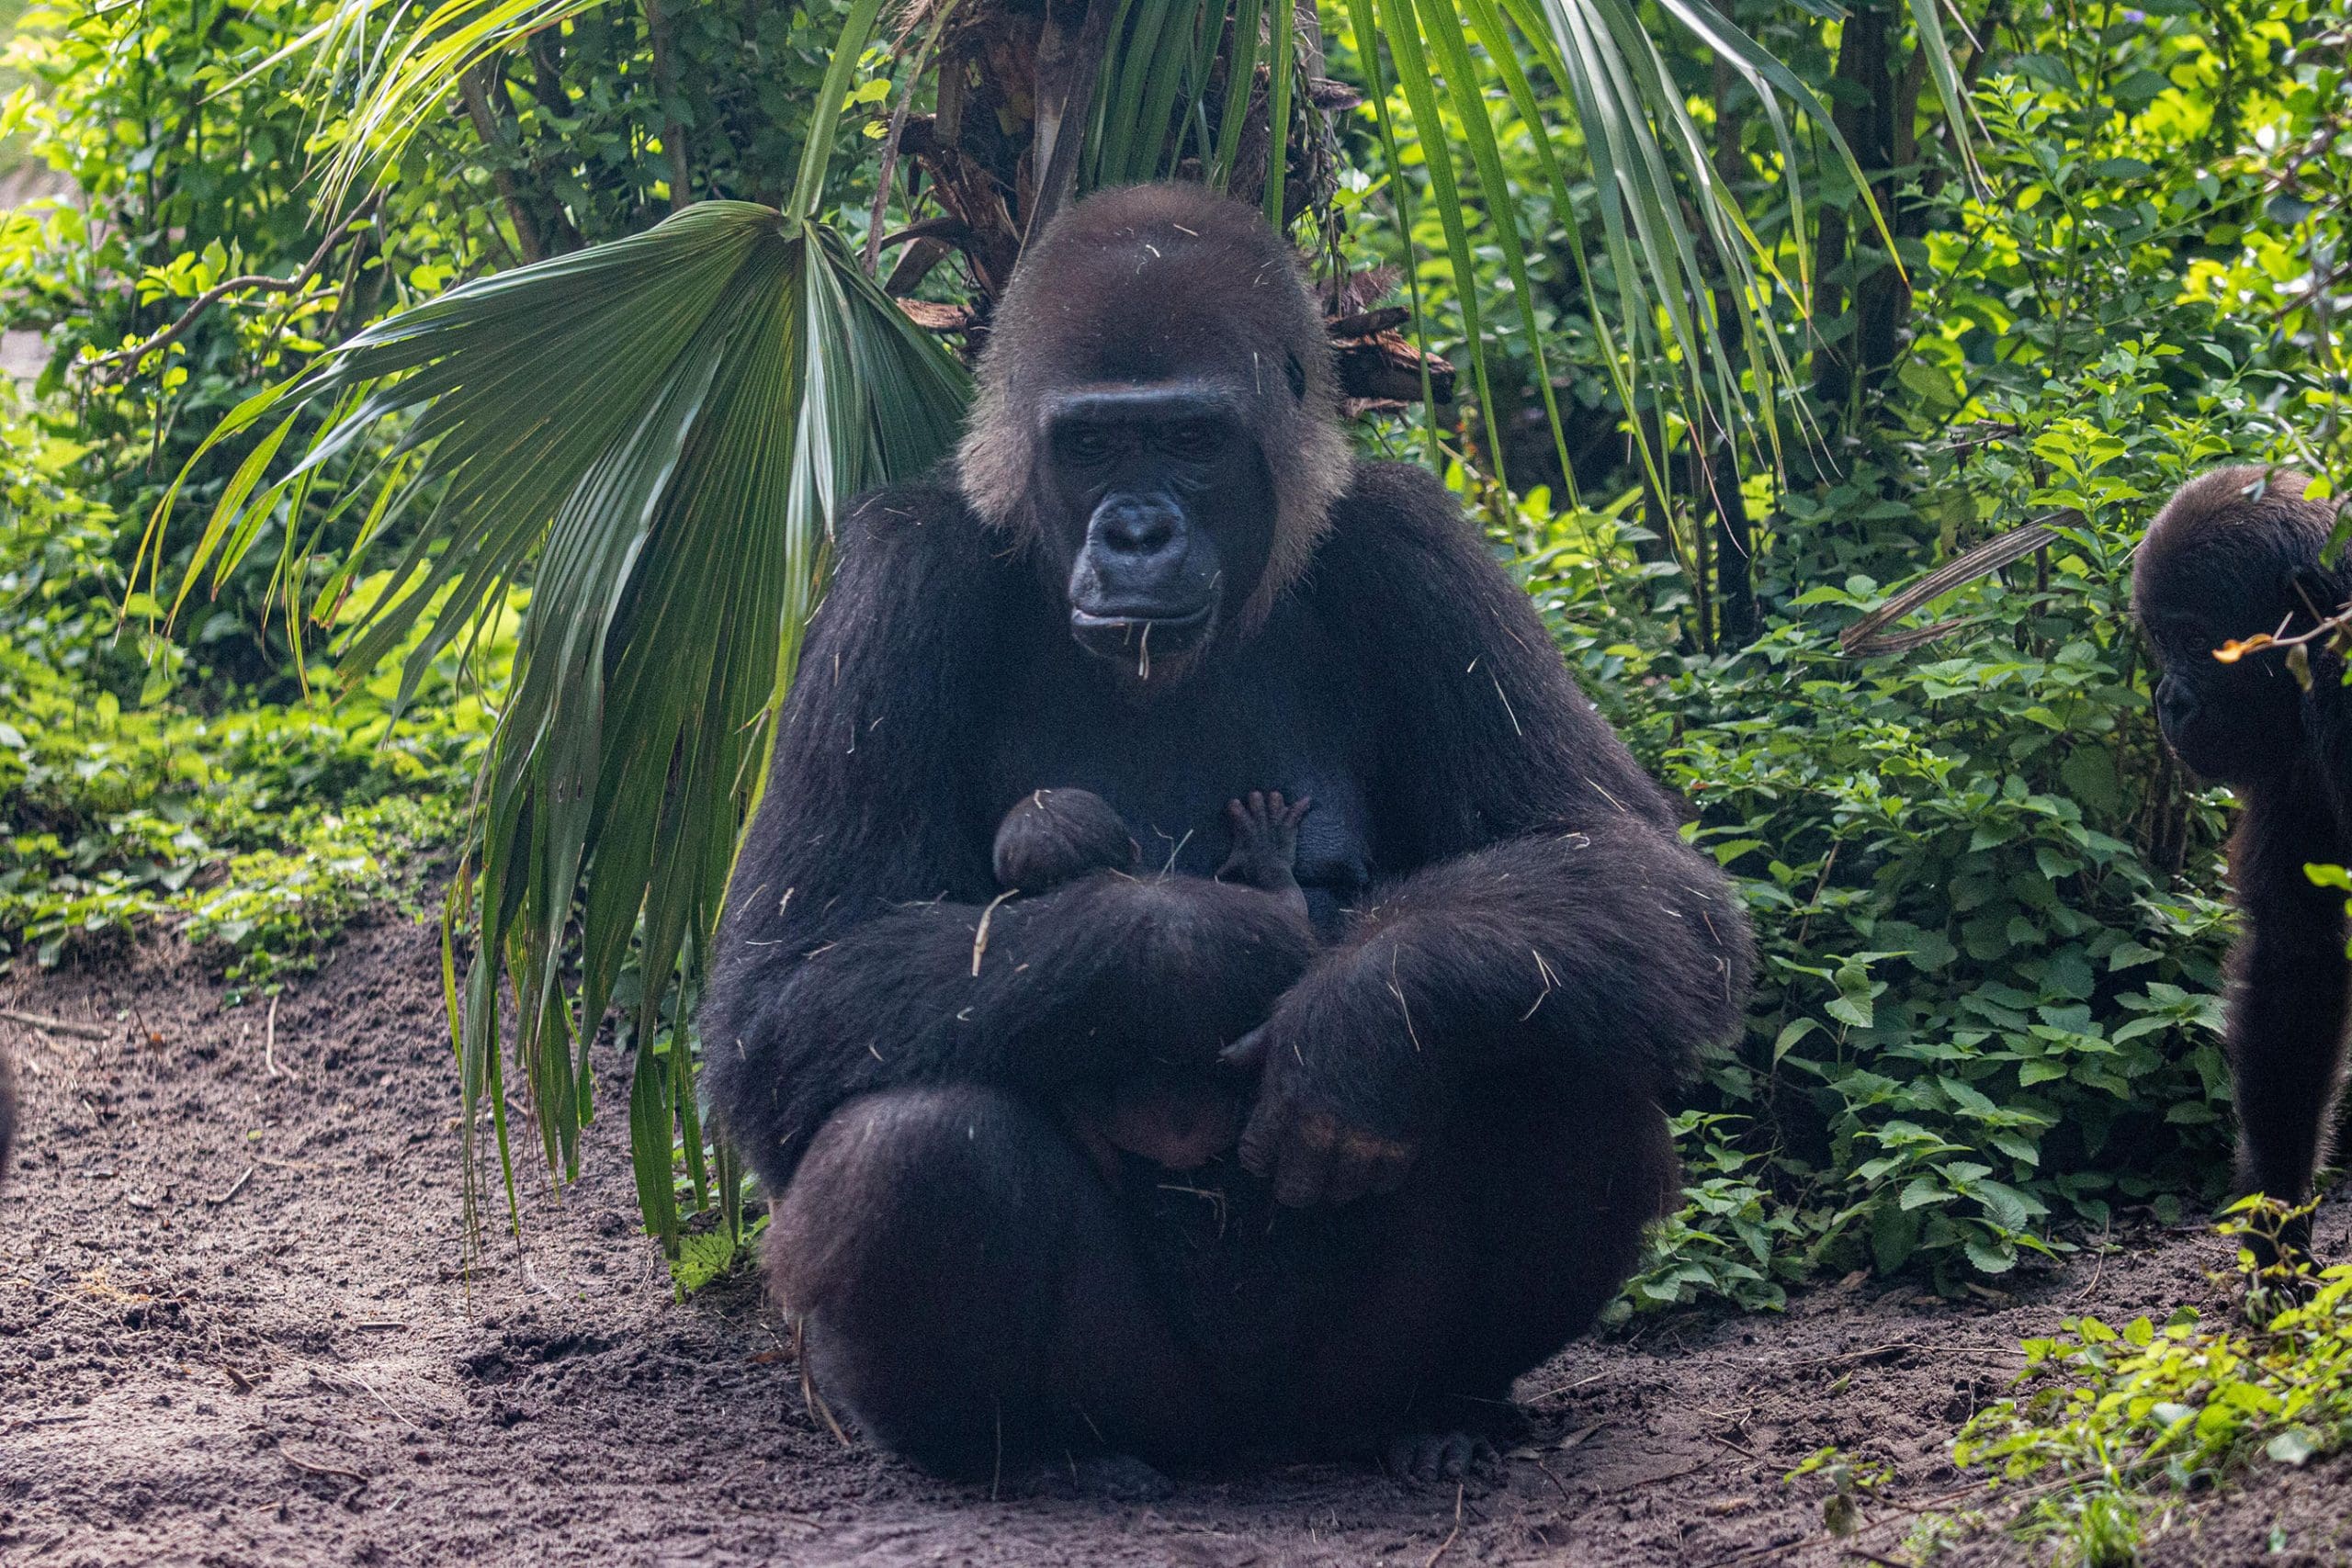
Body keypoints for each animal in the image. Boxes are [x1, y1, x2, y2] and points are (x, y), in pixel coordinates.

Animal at [695, 184, 1749, 1485]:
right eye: (1093, 446)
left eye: (1192, 440)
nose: (1138, 536)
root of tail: (1248, 1447)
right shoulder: (898, 573)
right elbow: (789, 986)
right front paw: (1217, 948)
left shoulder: (1413, 545)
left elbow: (1627, 869)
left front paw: (1359, 1013)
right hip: (1144, 1397)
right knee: (914, 1146)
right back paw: (1025, 1453)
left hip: (1337, 1381)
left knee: (1558, 1059)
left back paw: (1439, 1410)